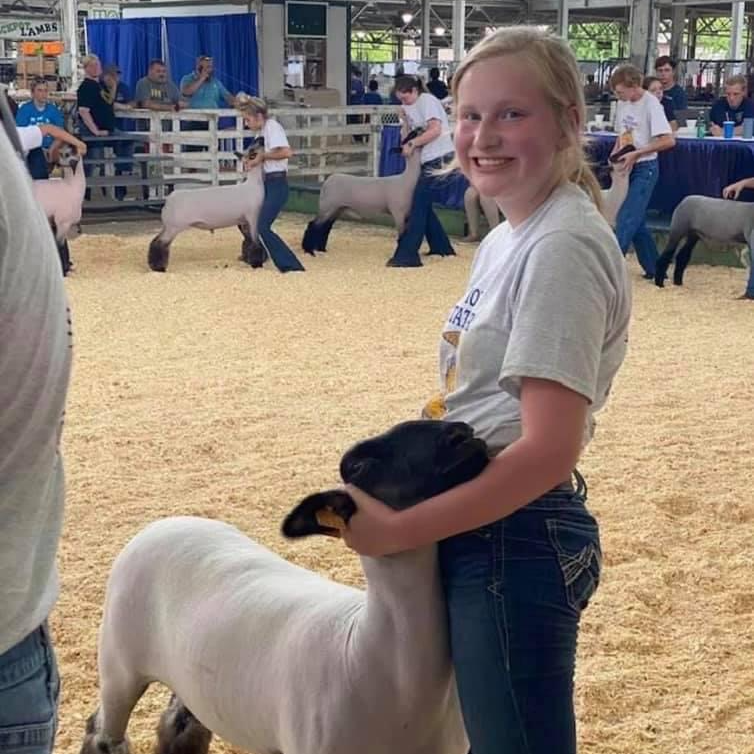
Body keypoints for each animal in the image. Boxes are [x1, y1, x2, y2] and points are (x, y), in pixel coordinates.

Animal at [32, 142, 85, 274]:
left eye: (66, 154)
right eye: (62, 153)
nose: (55, 163)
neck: (70, 187)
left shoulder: (57, 223)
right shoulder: (63, 222)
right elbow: (59, 245)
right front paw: (64, 270)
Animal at [78, 420, 488, 752]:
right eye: (358, 465)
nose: (463, 433)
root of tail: (164, 522)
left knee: (180, 724)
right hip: (119, 663)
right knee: (102, 732)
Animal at [146, 139, 264, 274]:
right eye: (252, 152)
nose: (261, 139)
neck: (253, 185)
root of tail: (169, 199)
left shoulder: (244, 221)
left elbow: (248, 241)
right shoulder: (253, 217)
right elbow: (255, 243)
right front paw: (257, 264)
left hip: (168, 226)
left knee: (155, 241)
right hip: (173, 227)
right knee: (160, 244)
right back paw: (159, 268)